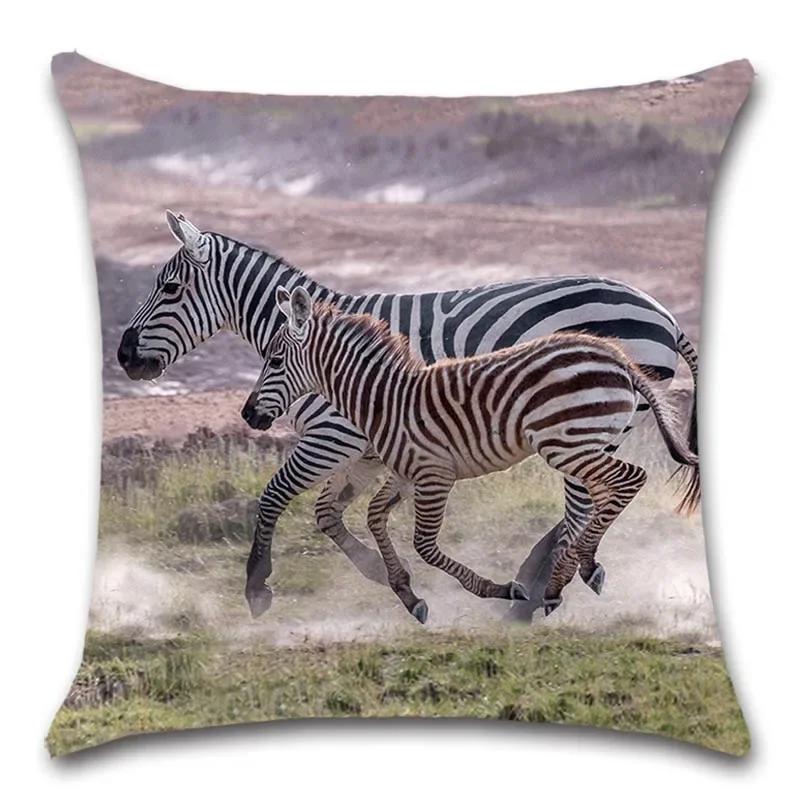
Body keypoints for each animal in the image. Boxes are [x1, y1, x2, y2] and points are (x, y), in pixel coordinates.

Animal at [243, 287, 698, 621]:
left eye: (275, 360)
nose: (248, 415)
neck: (385, 399)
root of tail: (618, 359)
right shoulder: (404, 474)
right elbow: (375, 518)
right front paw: (406, 593)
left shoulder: (434, 475)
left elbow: (425, 544)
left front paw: (498, 590)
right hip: (586, 441)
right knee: (607, 492)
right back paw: (579, 568)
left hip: (568, 443)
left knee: (627, 480)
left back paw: (558, 581)